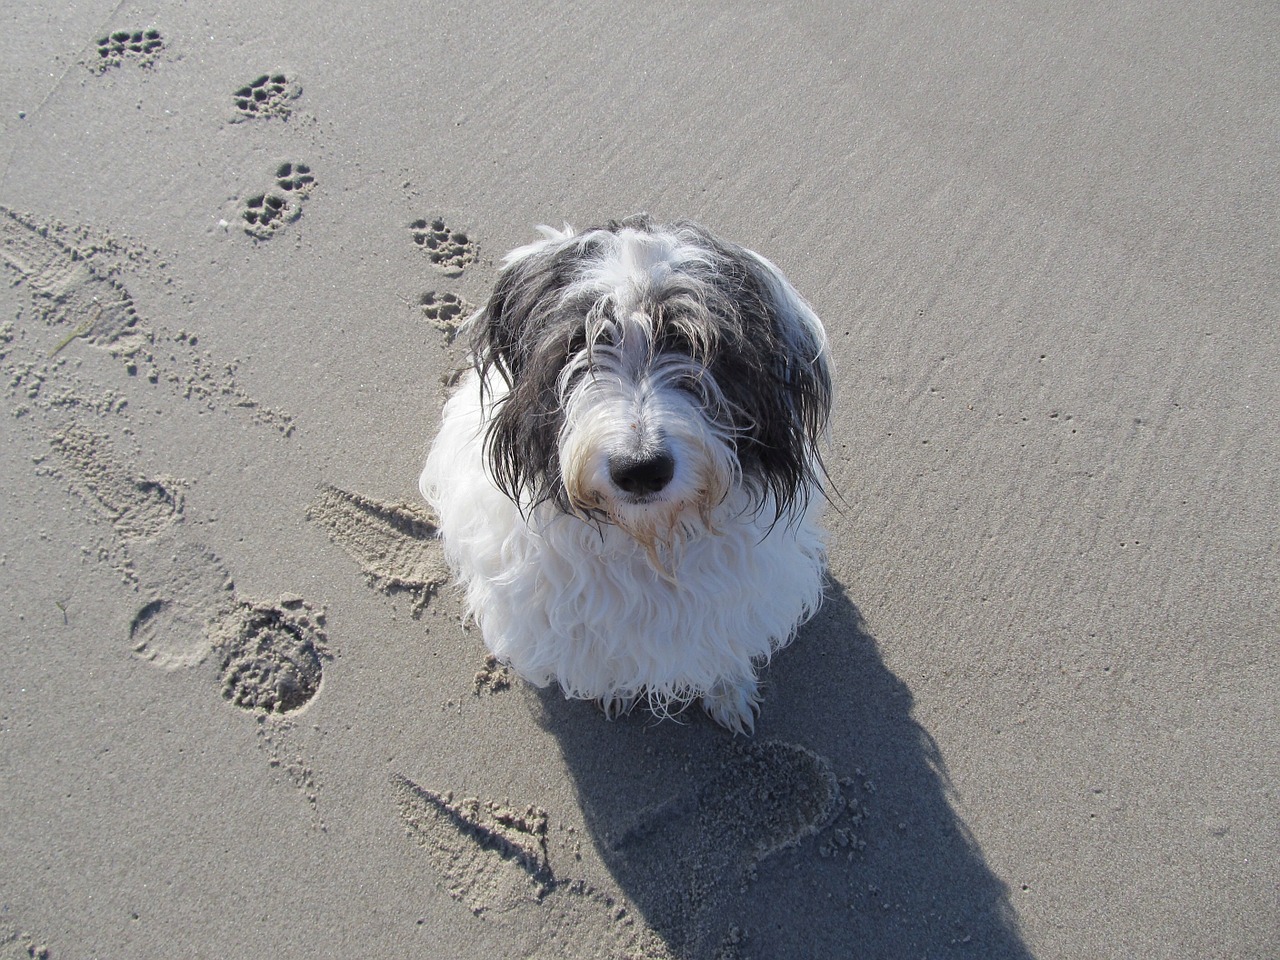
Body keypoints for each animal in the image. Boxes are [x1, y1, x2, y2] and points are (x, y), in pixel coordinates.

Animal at [424, 213, 834, 732]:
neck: (652, 539)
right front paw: (615, 692)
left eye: (692, 343)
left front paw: (730, 691)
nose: (641, 470)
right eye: (578, 344)